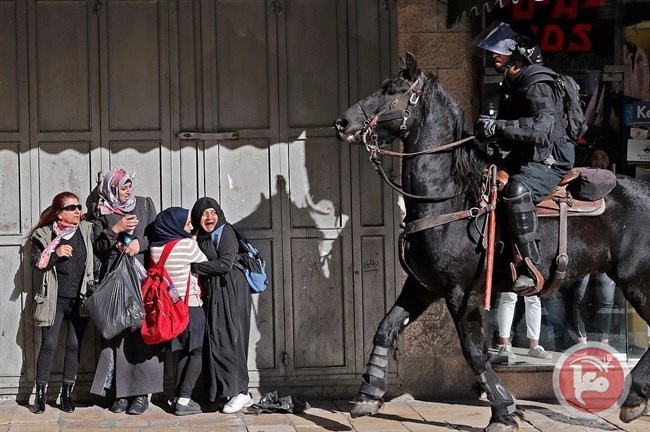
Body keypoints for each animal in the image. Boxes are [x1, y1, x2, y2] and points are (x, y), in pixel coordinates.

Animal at [334, 53, 648, 432]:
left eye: (392, 90)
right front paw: (369, 394)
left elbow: (475, 351)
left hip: (638, 282)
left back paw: (635, 397)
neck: (447, 197)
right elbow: (385, 328)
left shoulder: (460, 292)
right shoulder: (422, 285)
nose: (343, 122)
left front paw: (504, 410)